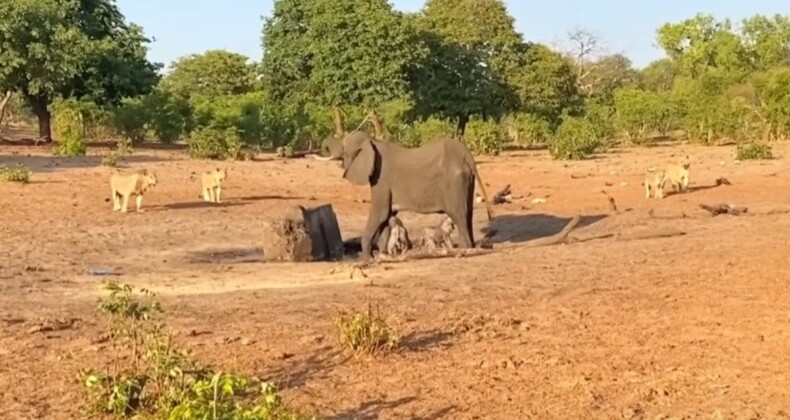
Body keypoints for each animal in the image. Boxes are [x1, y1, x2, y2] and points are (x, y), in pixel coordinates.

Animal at [324, 131, 496, 260]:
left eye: (344, 149)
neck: (373, 143)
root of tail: (468, 156)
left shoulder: (381, 178)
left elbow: (380, 214)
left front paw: (366, 259)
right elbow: (387, 217)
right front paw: (382, 256)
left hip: (453, 180)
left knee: (458, 214)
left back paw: (464, 250)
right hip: (466, 180)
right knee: (468, 214)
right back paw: (471, 248)